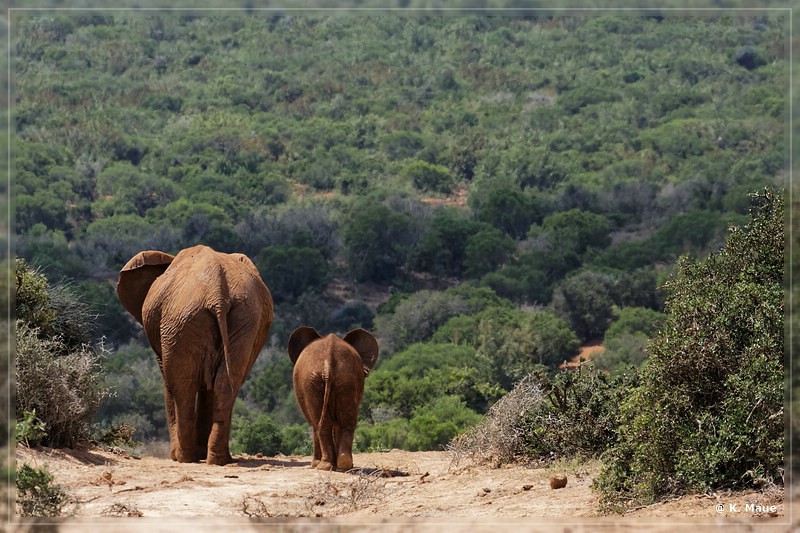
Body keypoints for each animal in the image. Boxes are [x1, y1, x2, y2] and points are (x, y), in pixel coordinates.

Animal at [114, 243, 274, 464]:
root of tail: (218, 292)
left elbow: (170, 382)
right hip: (243, 319)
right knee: (225, 384)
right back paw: (219, 459)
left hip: (180, 322)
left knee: (182, 386)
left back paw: (183, 457)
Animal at [290, 324, 380, 470]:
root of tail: (329, 362)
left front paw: (315, 465)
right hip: (345, 379)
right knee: (346, 422)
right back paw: (344, 464)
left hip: (314, 382)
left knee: (320, 423)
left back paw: (324, 466)